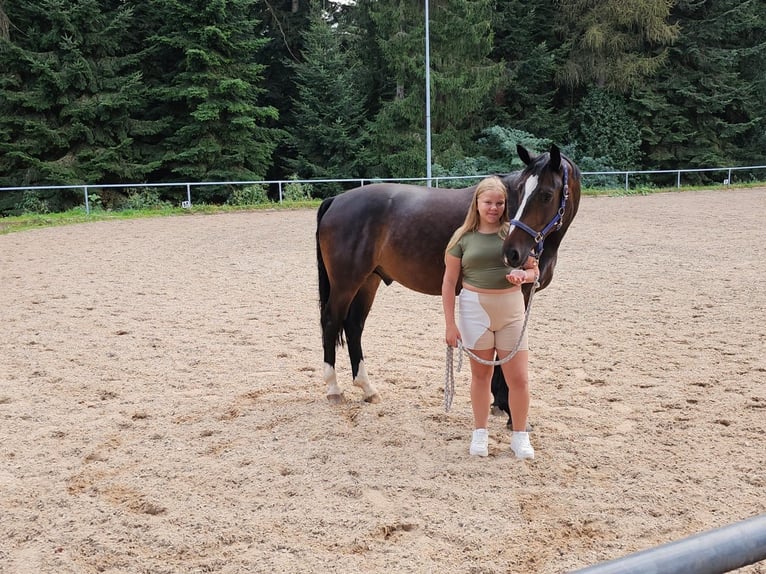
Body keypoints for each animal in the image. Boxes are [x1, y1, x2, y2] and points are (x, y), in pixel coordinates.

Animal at [316, 144, 584, 404]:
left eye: (546, 194)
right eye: (520, 190)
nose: (512, 253)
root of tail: (336, 200)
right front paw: (504, 404)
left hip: (368, 281)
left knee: (354, 325)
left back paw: (367, 388)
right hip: (346, 283)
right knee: (331, 320)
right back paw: (333, 389)